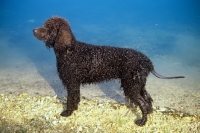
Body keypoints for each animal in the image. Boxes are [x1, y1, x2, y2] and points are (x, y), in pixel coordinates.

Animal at [33, 16, 184, 125]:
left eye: (48, 28)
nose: (33, 30)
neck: (69, 50)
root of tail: (147, 60)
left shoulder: (71, 82)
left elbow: (70, 99)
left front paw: (67, 113)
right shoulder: (74, 84)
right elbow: (75, 98)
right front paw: (74, 110)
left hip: (131, 85)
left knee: (142, 102)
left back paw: (142, 122)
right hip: (138, 84)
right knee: (147, 99)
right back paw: (150, 114)